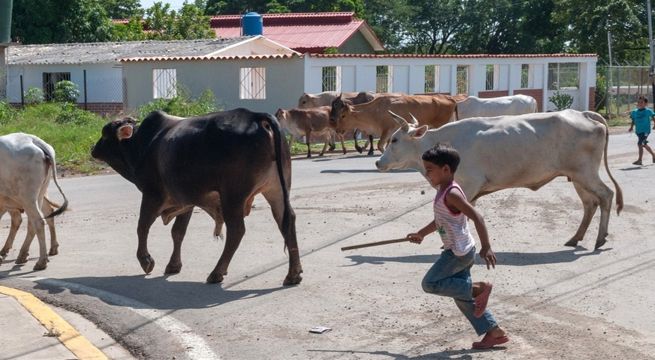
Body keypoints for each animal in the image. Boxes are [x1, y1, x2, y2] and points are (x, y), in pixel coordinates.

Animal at [0, 134, 68, 268]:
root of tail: (32, 139)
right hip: (39, 194)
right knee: (40, 218)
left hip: (27, 197)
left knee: (38, 221)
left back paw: (41, 261)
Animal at [91, 108, 304, 286]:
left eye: (105, 133)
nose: (93, 150)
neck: (142, 144)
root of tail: (256, 116)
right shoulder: (186, 202)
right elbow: (178, 232)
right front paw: (173, 265)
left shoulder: (152, 195)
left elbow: (142, 227)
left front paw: (146, 261)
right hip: (276, 190)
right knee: (287, 221)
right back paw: (293, 274)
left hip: (233, 196)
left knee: (237, 230)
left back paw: (217, 272)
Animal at [330, 93, 458, 153]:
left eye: (343, 115)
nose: (338, 130)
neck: (375, 110)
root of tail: (450, 99)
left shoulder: (387, 130)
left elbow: (380, 145)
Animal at [376, 110, 624, 250]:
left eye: (395, 140)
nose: (378, 162)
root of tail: (584, 114)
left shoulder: (469, 184)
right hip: (577, 177)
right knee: (590, 204)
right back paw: (576, 238)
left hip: (586, 173)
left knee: (606, 195)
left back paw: (599, 239)